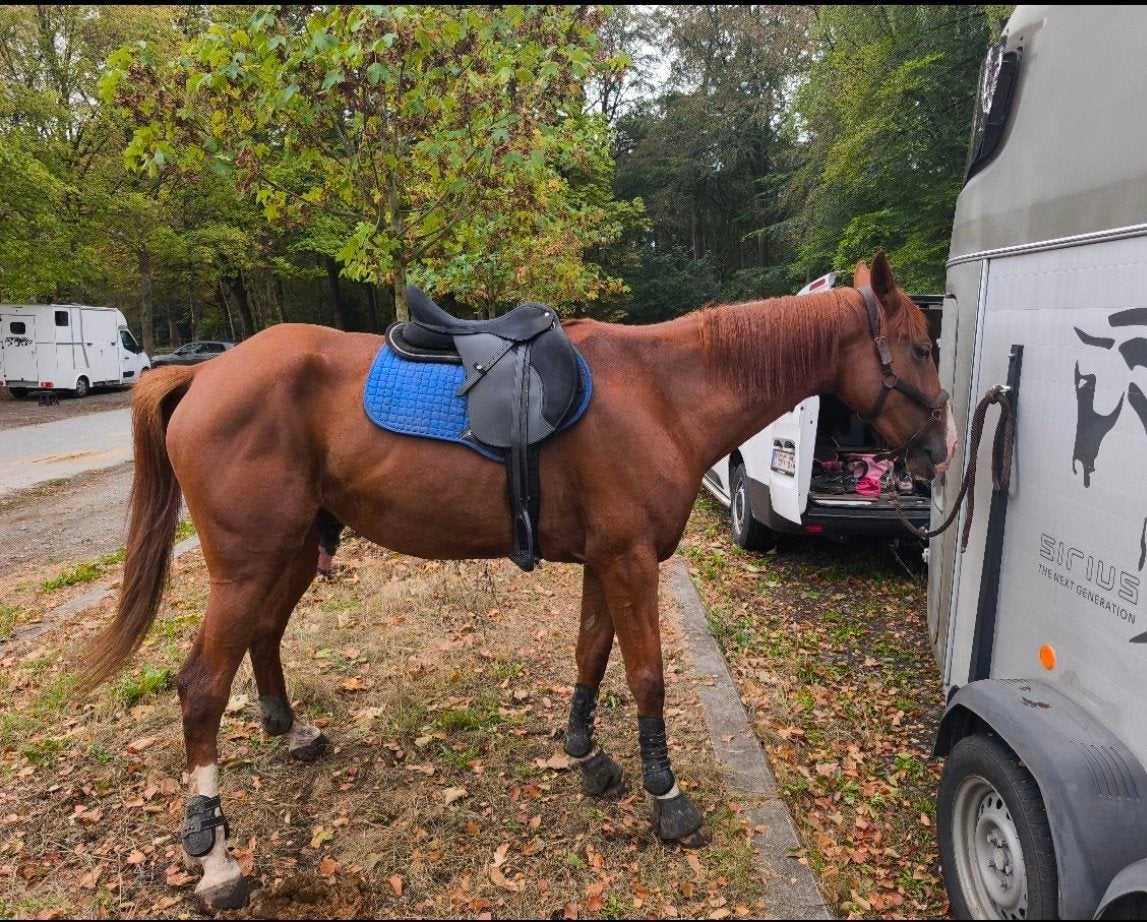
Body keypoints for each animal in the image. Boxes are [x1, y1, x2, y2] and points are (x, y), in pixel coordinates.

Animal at [81, 252, 954, 909]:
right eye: (918, 349)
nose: (939, 451)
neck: (663, 392)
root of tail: (203, 377)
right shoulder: (630, 559)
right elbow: (646, 675)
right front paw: (665, 796)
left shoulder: (606, 559)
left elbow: (591, 653)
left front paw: (586, 755)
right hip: (248, 564)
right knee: (200, 685)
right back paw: (215, 859)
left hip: (291, 550)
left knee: (263, 637)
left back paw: (289, 732)